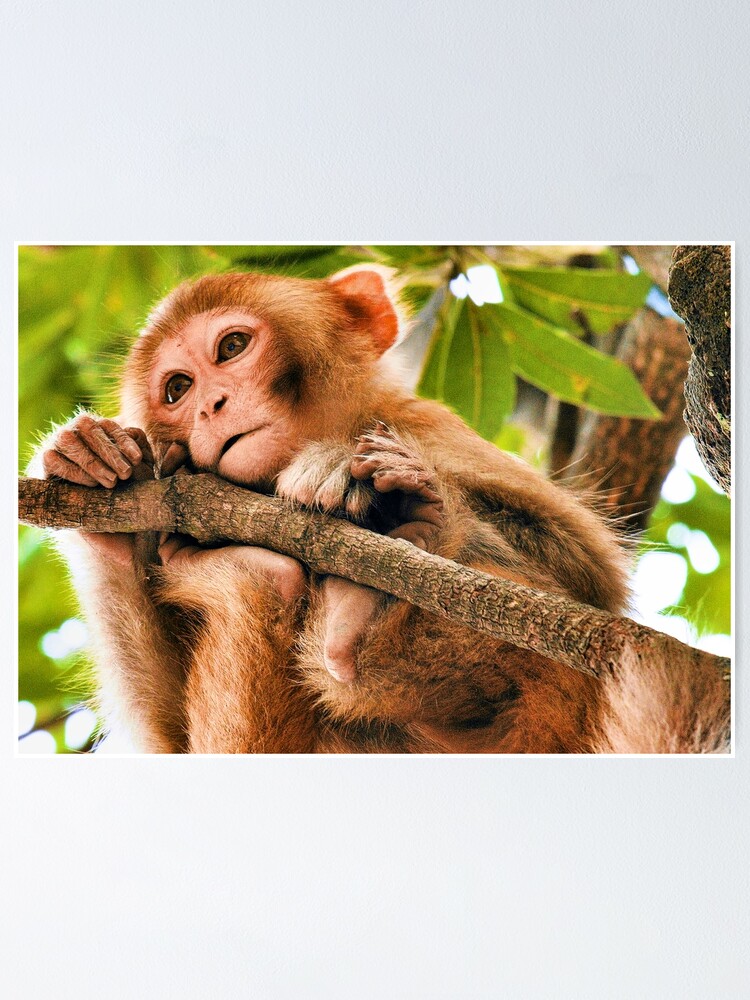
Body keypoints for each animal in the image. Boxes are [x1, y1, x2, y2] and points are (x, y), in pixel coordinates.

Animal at [30, 266, 730, 754]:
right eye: (176, 388)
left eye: (230, 348)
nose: (210, 405)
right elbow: (168, 741)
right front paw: (89, 460)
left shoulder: (422, 421)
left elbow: (587, 572)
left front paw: (348, 469)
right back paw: (267, 580)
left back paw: (371, 593)